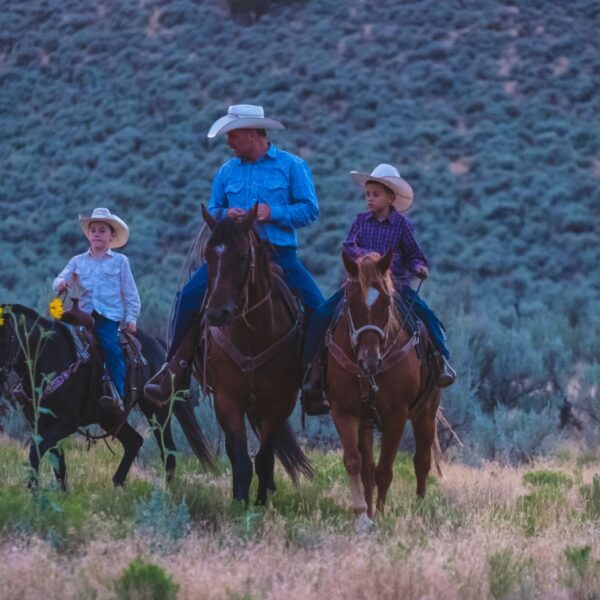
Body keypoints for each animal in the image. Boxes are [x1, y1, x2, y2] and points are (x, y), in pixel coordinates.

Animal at [0, 302, 216, 490]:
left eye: (5, 336)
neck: (49, 358)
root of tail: (159, 346)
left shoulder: (64, 423)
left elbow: (36, 452)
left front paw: (34, 492)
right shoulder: (42, 424)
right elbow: (58, 463)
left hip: (157, 411)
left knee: (168, 451)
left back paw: (167, 493)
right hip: (109, 417)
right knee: (135, 441)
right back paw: (117, 483)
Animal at [202, 204, 314, 504]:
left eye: (242, 256)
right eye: (208, 255)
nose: (217, 314)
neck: (253, 337)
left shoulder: (278, 403)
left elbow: (264, 459)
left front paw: (261, 503)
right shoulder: (227, 399)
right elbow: (241, 459)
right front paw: (240, 504)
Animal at [328, 251, 440, 532]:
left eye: (387, 303)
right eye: (350, 301)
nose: (369, 360)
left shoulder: (396, 417)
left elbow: (385, 470)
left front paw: (381, 513)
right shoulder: (344, 412)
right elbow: (355, 463)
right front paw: (363, 515)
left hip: (426, 413)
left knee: (422, 461)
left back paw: (420, 506)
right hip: (367, 423)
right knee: (368, 469)